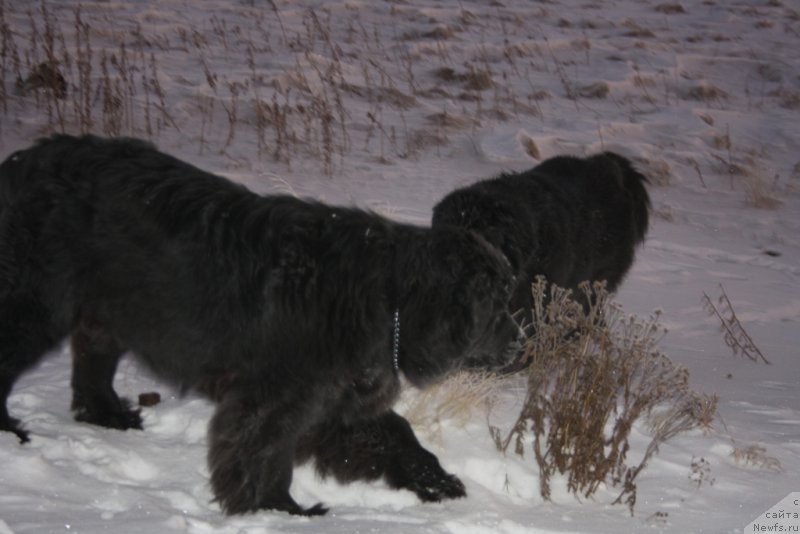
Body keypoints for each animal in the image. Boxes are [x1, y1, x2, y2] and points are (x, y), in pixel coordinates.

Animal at [0, 136, 520, 516]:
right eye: (496, 307)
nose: (521, 344)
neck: (388, 296)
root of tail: (23, 160)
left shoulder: (333, 397)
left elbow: (395, 433)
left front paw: (435, 479)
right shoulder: (276, 397)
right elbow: (265, 453)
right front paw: (277, 510)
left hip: (110, 307)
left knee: (91, 360)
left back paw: (107, 414)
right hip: (35, 304)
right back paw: (11, 431)